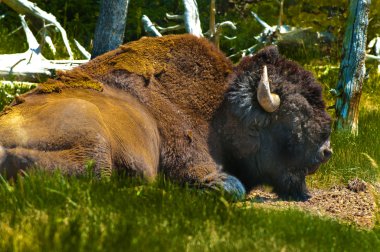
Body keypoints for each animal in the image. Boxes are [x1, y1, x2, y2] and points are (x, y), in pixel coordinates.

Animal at [0, 35, 332, 201]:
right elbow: (231, 186)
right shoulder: (192, 161)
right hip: (93, 143)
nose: (325, 151)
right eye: (297, 115)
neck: (220, 110)